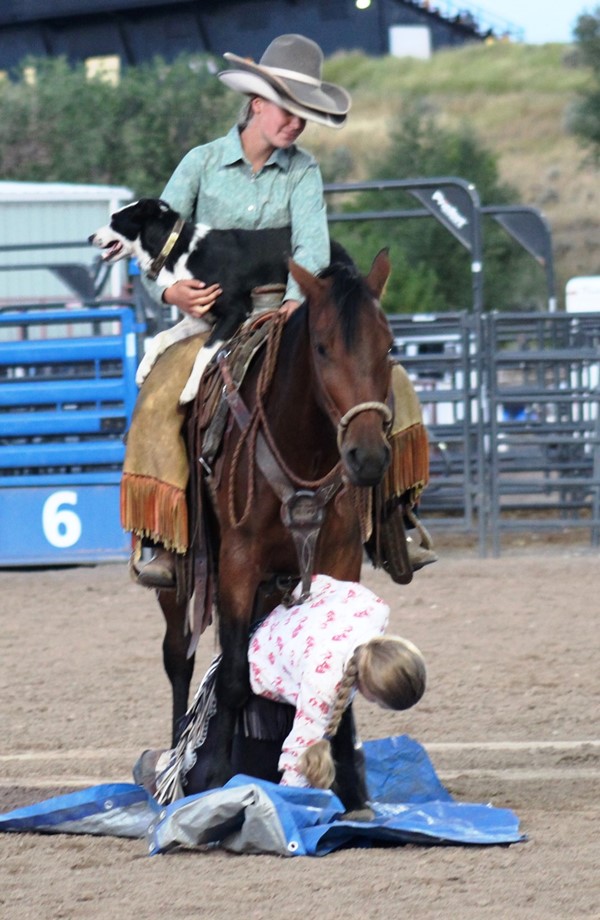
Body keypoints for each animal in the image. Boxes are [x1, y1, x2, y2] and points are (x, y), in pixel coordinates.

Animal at [157, 246, 396, 812]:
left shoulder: (338, 559)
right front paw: (218, 777)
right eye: (322, 348)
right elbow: (234, 677)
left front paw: (352, 788)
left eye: (390, 347)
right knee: (179, 659)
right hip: (177, 573)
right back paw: (175, 759)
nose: (368, 456)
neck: (300, 448)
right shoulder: (238, 564)